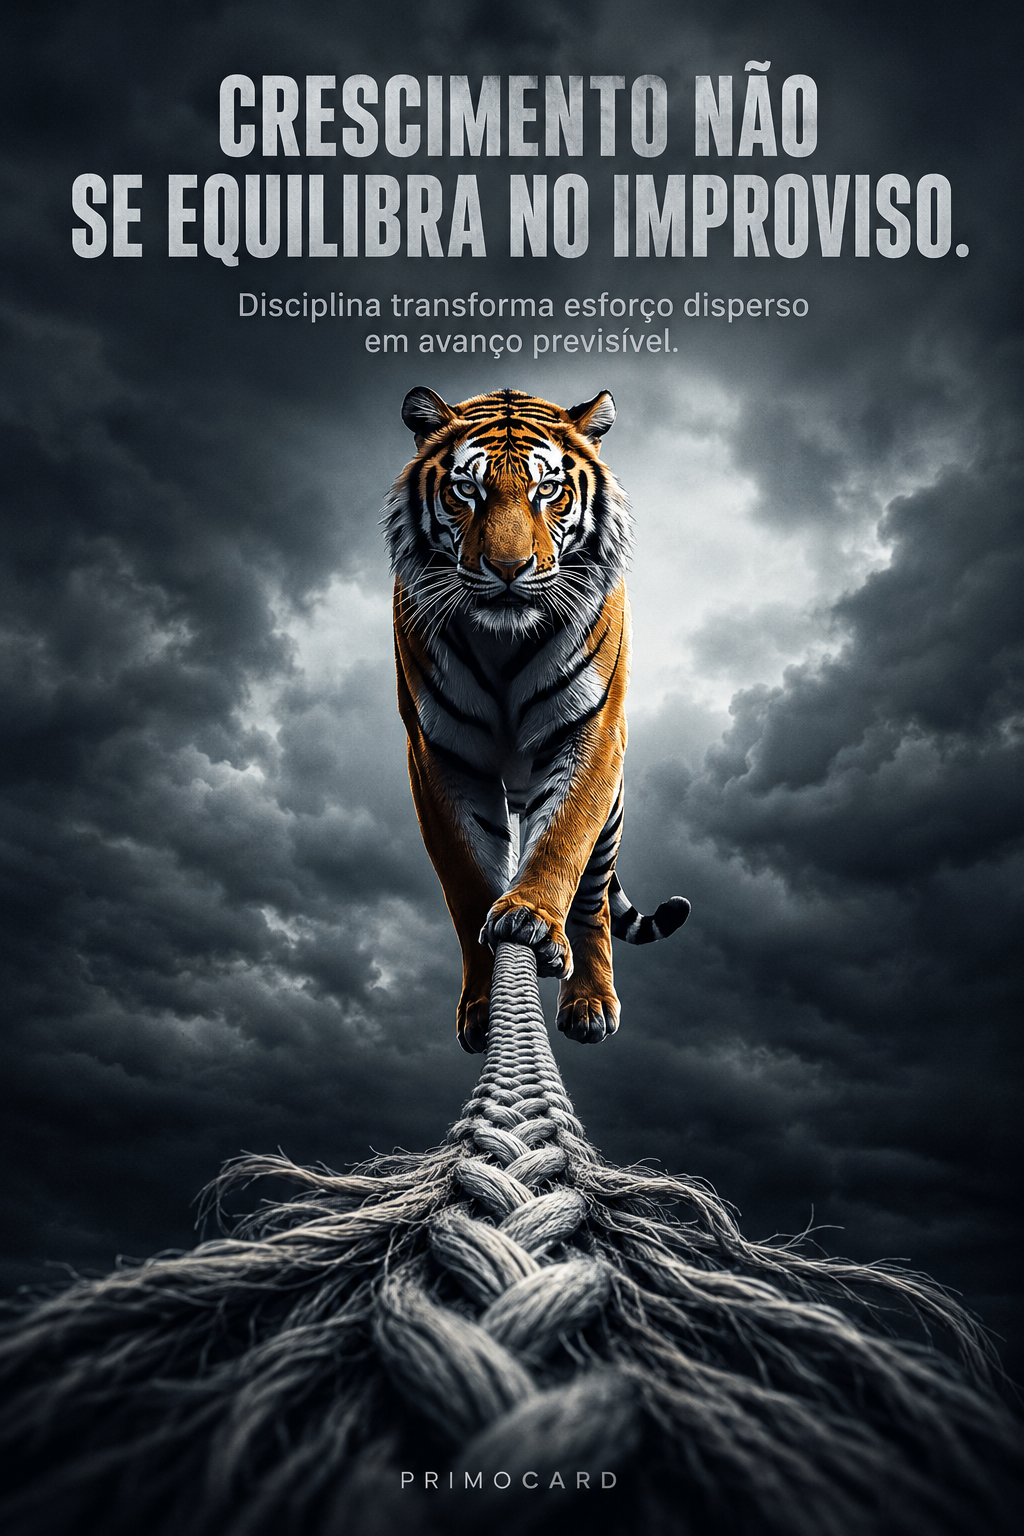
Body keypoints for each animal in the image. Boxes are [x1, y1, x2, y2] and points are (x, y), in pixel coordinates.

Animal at [384, 385, 689, 1053]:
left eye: (547, 489)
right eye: (465, 489)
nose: (508, 567)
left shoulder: (592, 730)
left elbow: (563, 835)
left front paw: (530, 918)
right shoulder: (438, 753)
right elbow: (467, 877)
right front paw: (480, 1007)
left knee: (595, 899)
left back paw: (590, 1002)